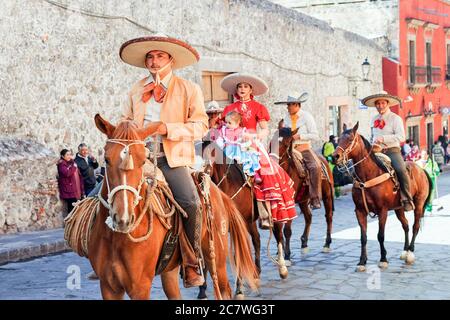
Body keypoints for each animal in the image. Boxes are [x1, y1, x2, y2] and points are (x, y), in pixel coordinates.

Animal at [88, 115, 256, 300]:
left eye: (142, 160)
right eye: (107, 159)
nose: (123, 218)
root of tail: (217, 192)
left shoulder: (140, 287)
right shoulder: (108, 286)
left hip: (217, 259)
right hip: (170, 270)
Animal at [272, 129, 336, 262]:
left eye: (286, 144)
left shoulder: (290, 203)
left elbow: (287, 230)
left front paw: (287, 256)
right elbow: (277, 229)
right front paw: (279, 253)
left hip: (327, 196)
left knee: (329, 217)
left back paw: (327, 244)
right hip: (303, 200)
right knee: (308, 217)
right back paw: (304, 243)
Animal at [330, 122, 432, 270]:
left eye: (350, 139)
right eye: (338, 139)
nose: (334, 157)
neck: (368, 177)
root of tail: (421, 170)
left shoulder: (382, 211)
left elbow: (380, 235)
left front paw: (383, 259)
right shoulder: (360, 211)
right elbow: (363, 237)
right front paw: (362, 261)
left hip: (418, 204)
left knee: (415, 226)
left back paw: (410, 253)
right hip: (399, 208)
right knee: (406, 225)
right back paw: (405, 250)